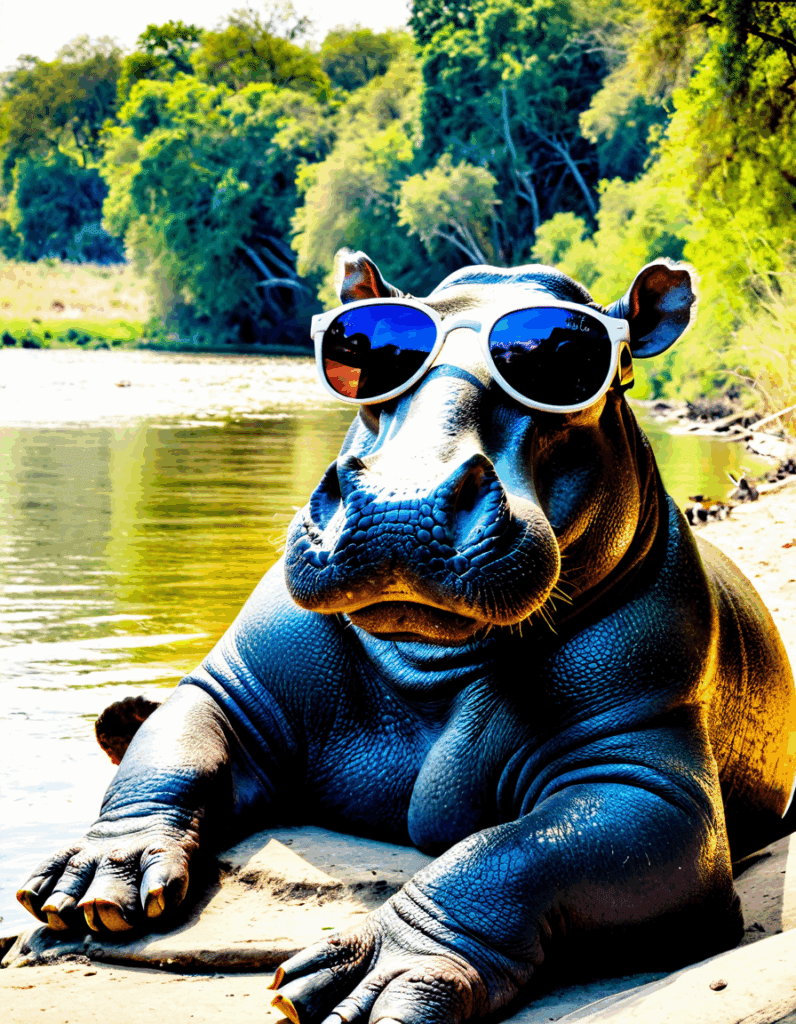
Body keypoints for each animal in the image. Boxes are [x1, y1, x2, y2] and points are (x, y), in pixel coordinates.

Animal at [18, 250, 796, 1024]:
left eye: (584, 359)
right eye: (362, 349)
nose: (402, 503)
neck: (431, 662)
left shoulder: (644, 777)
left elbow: (508, 857)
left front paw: (371, 976)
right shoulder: (234, 688)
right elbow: (170, 753)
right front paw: (91, 882)